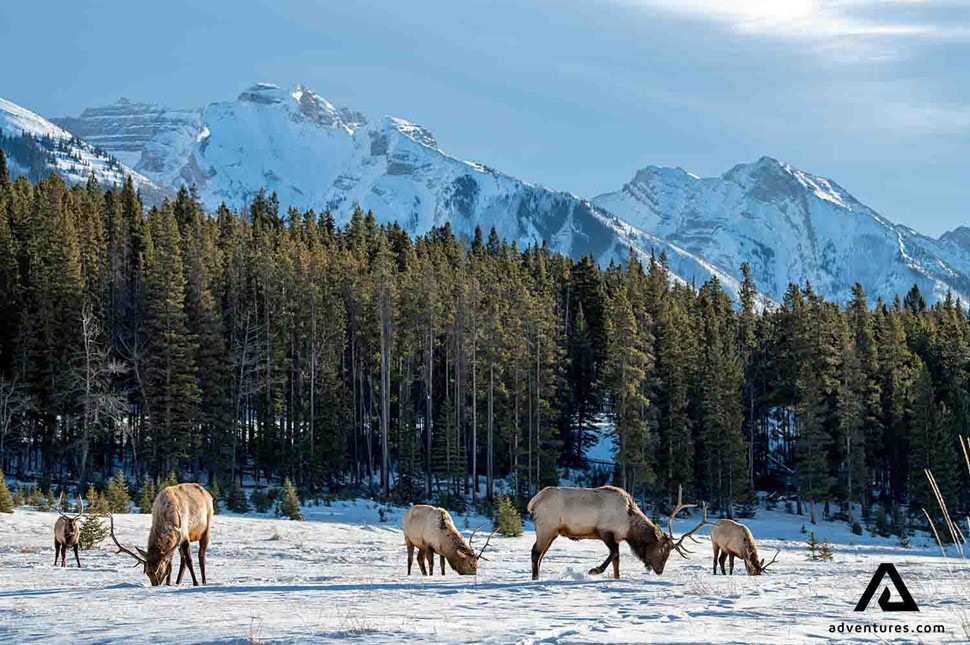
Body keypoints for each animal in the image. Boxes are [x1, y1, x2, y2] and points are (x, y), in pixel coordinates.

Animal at [524, 484, 708, 580]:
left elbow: (616, 560)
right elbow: (614, 554)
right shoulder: (605, 532)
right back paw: (535, 578)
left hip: (552, 532)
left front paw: (617, 577)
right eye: (662, 549)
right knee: (535, 551)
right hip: (546, 528)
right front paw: (594, 570)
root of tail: (533, 501)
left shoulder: (617, 538)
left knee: (540, 554)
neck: (629, 526)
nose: (659, 570)